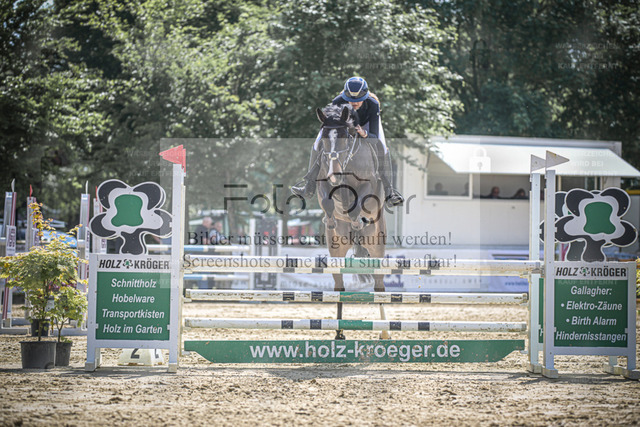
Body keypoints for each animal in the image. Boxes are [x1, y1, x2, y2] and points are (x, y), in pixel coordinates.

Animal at [314, 103, 389, 340]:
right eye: (323, 140)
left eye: (345, 137)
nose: (334, 173)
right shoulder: (323, 183)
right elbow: (327, 200)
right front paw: (329, 220)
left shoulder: (369, 184)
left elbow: (359, 201)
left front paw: (357, 220)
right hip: (336, 251)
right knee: (340, 288)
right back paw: (339, 332)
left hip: (376, 247)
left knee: (379, 288)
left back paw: (385, 332)